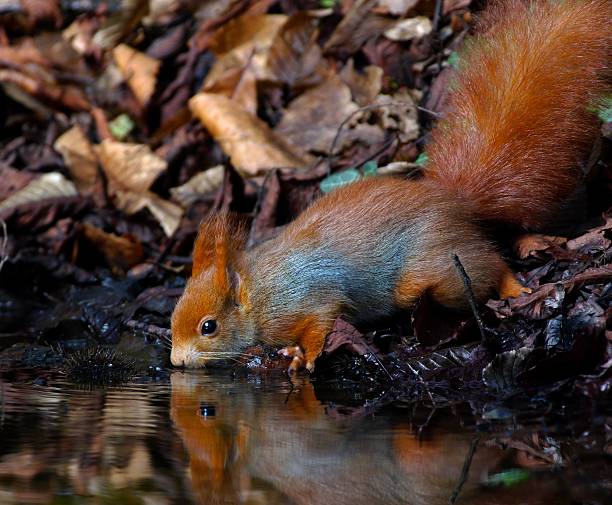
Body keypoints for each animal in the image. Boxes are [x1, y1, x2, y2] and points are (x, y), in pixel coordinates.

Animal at [169, 0, 612, 370]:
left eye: (209, 326)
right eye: (173, 317)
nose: (176, 362)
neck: (259, 295)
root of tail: (451, 200)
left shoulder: (308, 298)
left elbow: (321, 322)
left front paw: (303, 357)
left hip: (431, 264)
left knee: (486, 263)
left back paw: (511, 285)